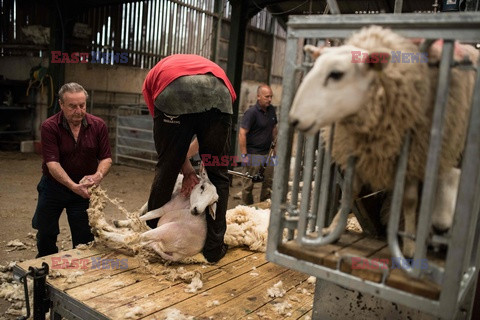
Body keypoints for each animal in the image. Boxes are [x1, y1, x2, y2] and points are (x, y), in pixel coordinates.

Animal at [288, 25, 476, 256]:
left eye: (336, 74)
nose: (294, 120)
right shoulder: (358, 154)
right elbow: (350, 191)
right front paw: (332, 229)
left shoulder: (413, 155)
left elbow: (410, 200)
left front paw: (410, 247)